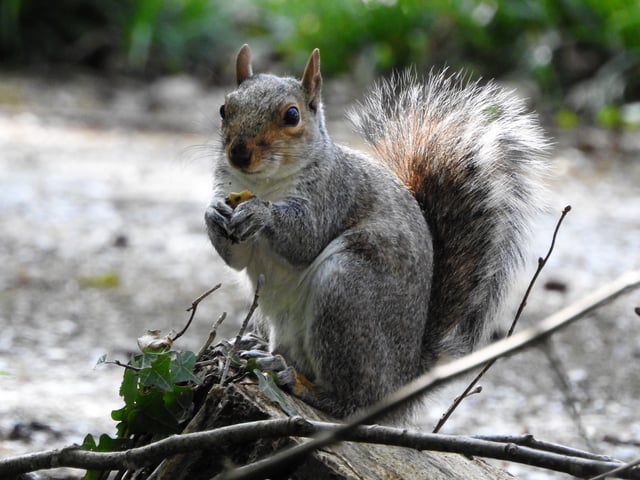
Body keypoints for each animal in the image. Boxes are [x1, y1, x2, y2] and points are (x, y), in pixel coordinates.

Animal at [205, 44, 548, 419]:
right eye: (224, 109)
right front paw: (213, 214)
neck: (263, 185)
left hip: (347, 291)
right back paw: (257, 350)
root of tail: (403, 381)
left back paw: (298, 382)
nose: (239, 153)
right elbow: (237, 258)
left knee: (354, 401)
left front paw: (260, 213)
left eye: (292, 116)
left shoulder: (334, 193)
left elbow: (305, 238)